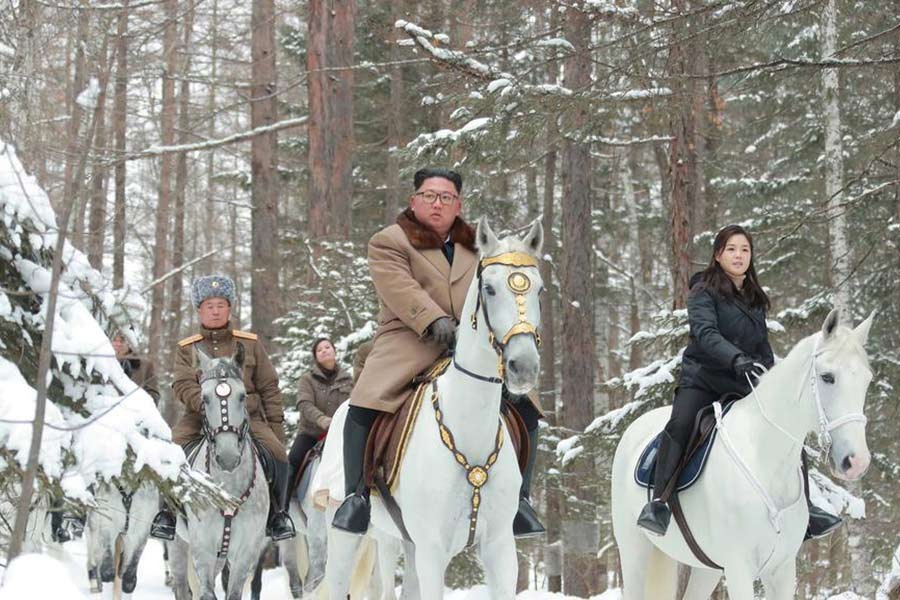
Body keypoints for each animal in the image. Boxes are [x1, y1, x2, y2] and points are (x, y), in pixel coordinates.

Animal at [168, 345, 269, 600]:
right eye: (204, 398)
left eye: (242, 396)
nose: (228, 456)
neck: (227, 489)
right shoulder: (203, 548)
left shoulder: (246, 552)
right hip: (178, 545)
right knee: (182, 588)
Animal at [611, 308, 874, 600]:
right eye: (828, 377)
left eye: (866, 380)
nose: (857, 461)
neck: (764, 459)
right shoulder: (739, 569)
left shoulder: (782, 570)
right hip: (634, 552)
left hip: (707, 569)